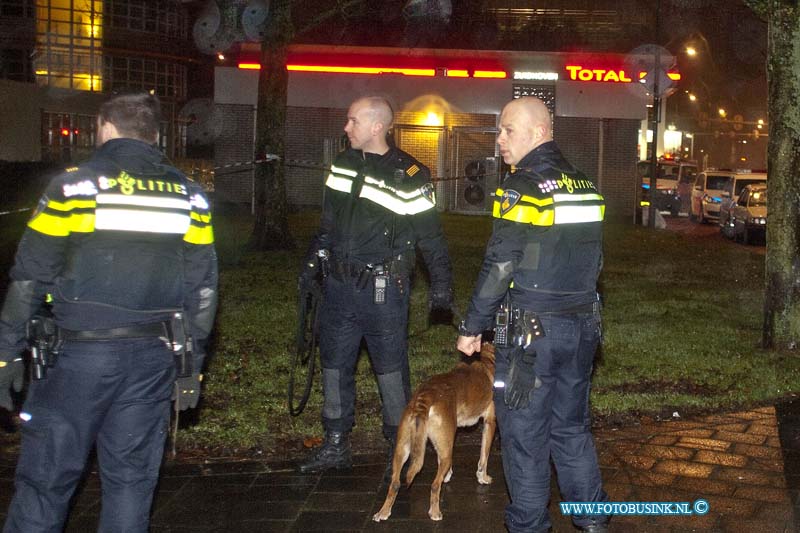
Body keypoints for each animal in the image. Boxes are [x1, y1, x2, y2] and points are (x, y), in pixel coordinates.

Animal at [374, 340, 496, 520]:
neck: (488, 360)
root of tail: (425, 396)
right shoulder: (490, 423)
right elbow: (484, 457)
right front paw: (483, 477)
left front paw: (448, 475)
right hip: (446, 449)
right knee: (434, 485)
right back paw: (435, 513)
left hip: (403, 449)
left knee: (395, 483)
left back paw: (383, 512)